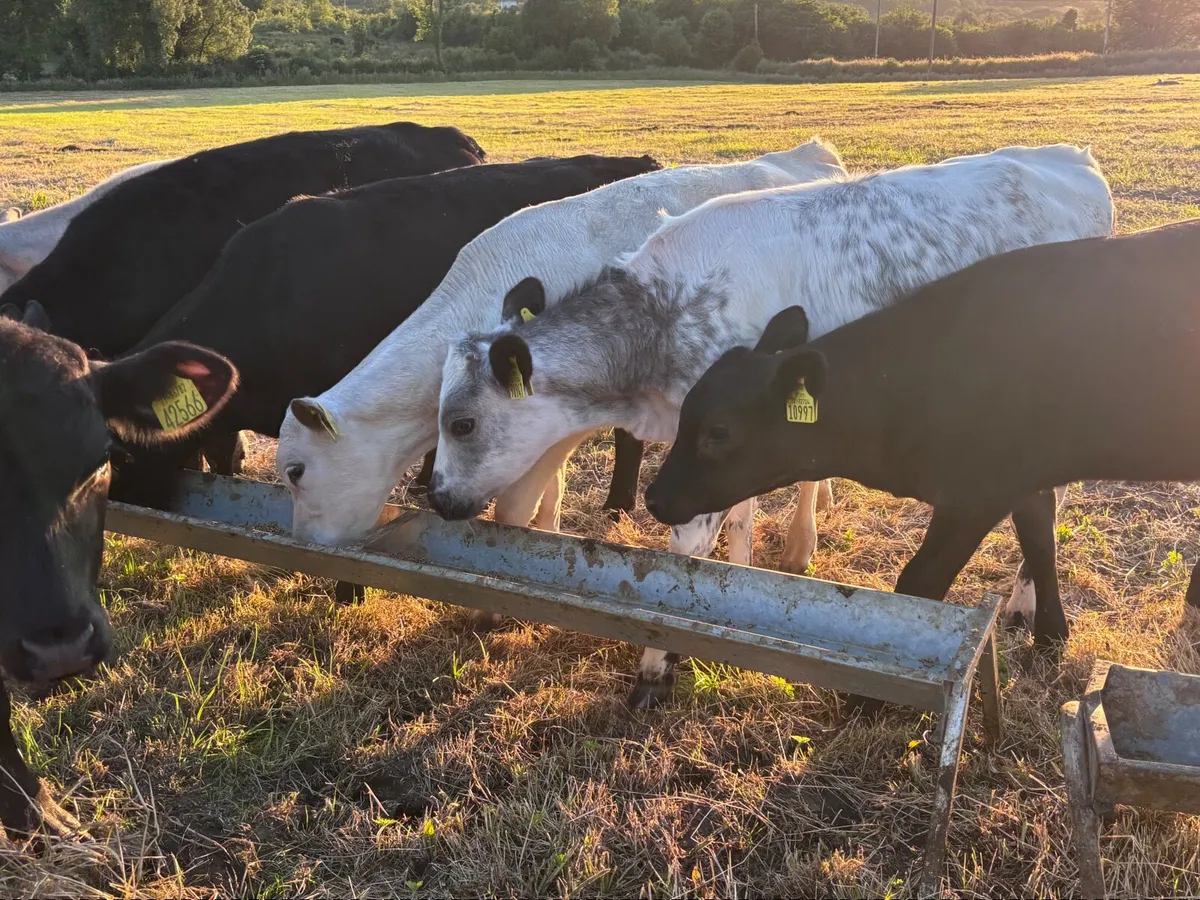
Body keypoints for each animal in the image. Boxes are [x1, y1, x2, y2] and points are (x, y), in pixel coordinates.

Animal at [425, 144, 1113, 707]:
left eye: (462, 423)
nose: (435, 498)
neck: (662, 321)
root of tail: (1069, 157)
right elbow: (737, 524)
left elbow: (686, 553)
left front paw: (656, 667)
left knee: (1044, 506)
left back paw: (1029, 609)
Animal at [646, 220, 1200, 666]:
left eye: (717, 432)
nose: (653, 497)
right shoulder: (1027, 480)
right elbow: (1041, 545)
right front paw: (1050, 638)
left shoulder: (975, 495)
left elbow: (919, 583)